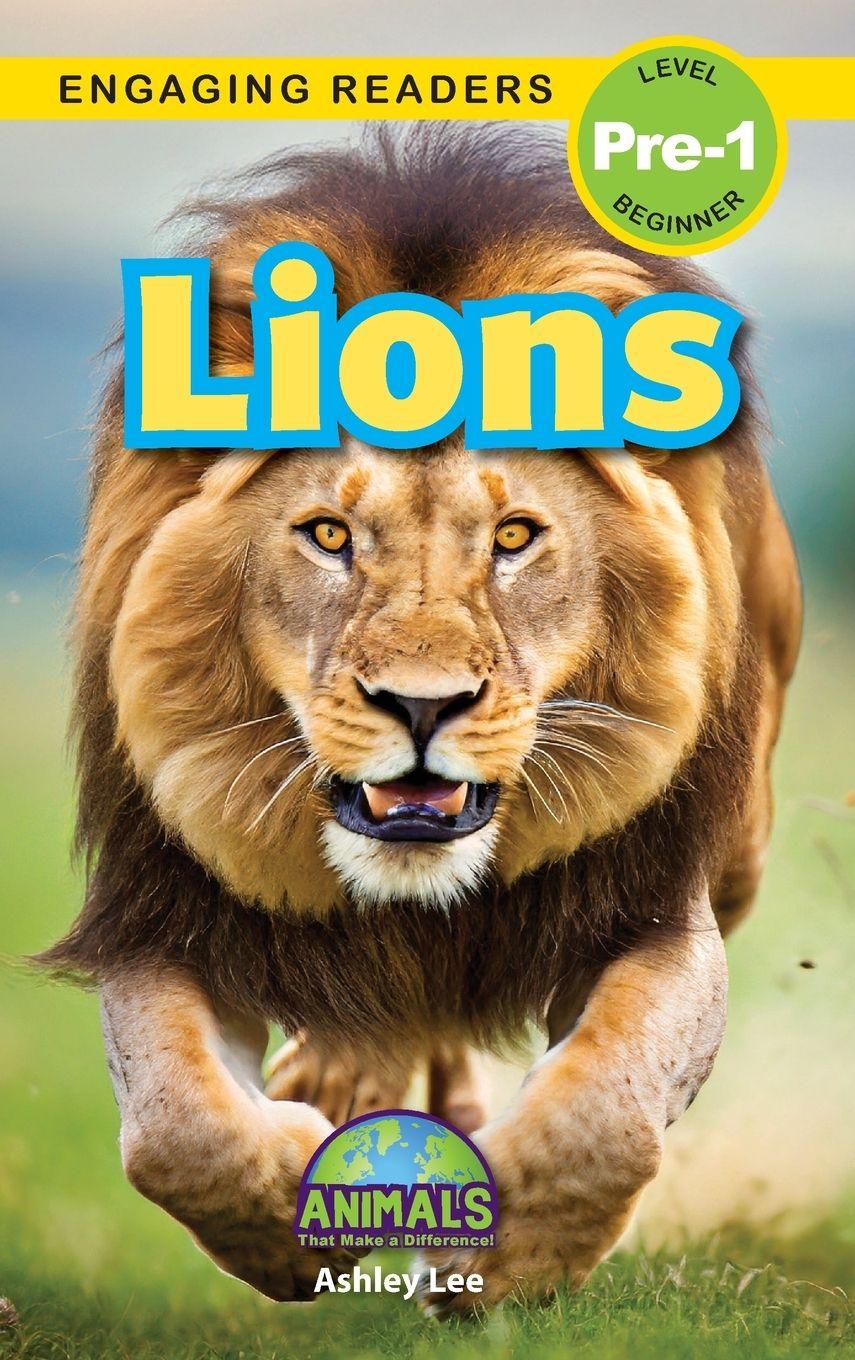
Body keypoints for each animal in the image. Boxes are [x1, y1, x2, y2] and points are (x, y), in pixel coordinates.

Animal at [40, 126, 801, 1314]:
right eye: (329, 535)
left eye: (515, 536)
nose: (422, 704)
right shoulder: (161, 905)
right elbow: (176, 1131)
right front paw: (300, 1221)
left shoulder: (655, 908)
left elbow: (603, 1110)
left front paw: (501, 1263)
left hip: (745, 848)